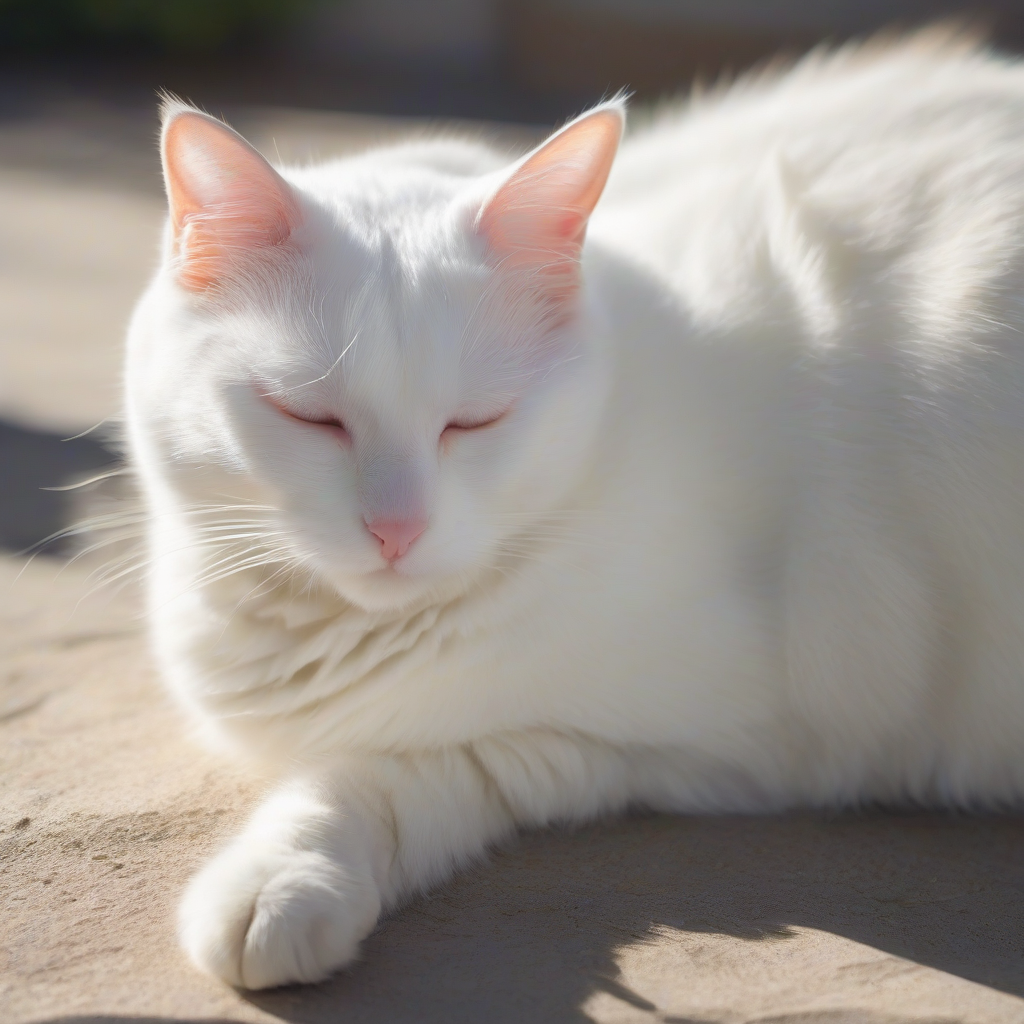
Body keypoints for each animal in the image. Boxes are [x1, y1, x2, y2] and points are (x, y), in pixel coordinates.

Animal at [128, 32, 1024, 987]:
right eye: (311, 417)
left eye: (474, 421)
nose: (396, 529)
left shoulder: (702, 742)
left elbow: (385, 773)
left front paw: (283, 882)